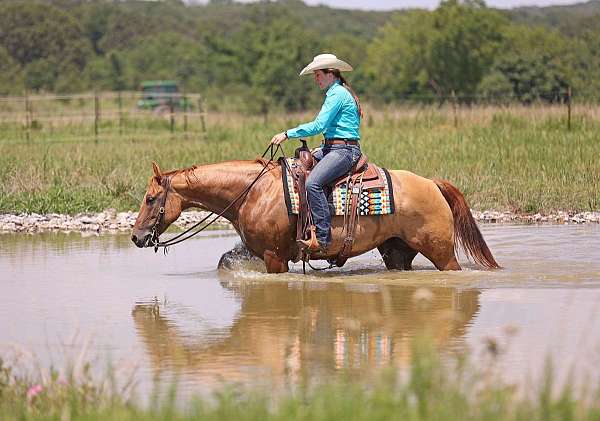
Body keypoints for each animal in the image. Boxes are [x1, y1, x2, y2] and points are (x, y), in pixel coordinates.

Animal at [132, 158, 502, 272]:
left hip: (441, 252)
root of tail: (432, 184)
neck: (252, 192)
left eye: (150, 199)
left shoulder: (274, 256)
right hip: (397, 252)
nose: (136, 237)